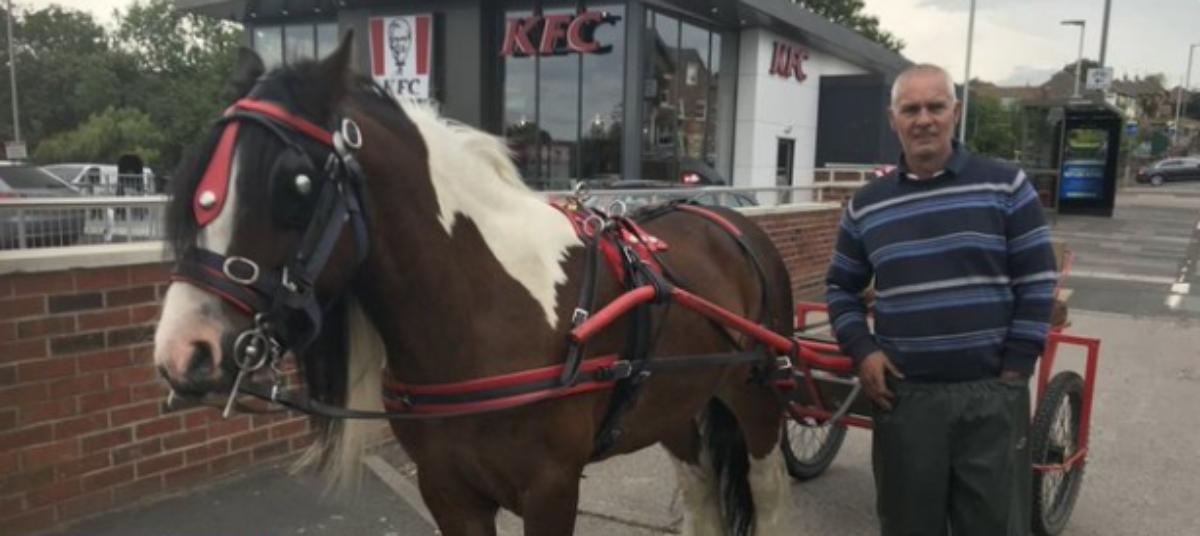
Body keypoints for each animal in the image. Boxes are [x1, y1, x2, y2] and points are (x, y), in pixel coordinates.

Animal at [154, 31, 801, 534]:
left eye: (296, 185)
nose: (183, 351)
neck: (485, 311)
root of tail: (735, 224)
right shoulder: (448, 492)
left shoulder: (552, 490)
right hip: (675, 404)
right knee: (700, 491)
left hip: (759, 392)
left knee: (769, 493)